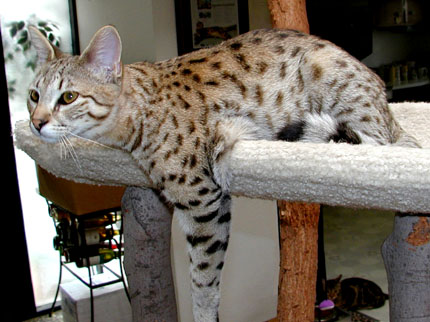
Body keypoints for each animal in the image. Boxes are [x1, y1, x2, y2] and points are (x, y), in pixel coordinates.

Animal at [27, 25, 420, 322]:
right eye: (33, 95)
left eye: (68, 97)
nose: (35, 123)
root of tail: (387, 104)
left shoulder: (202, 201)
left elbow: (203, 279)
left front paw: (204, 315)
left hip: (340, 93)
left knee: (380, 143)